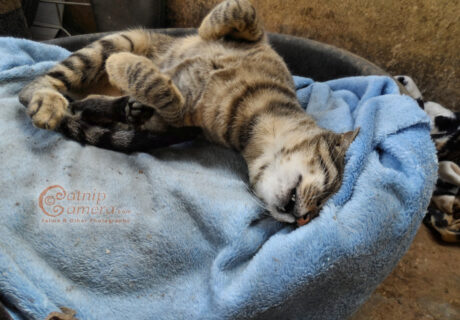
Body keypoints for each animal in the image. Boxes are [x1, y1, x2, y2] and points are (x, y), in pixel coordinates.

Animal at [18, 0, 360, 226]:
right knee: (32, 88)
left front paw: (129, 76)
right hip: (120, 39)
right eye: (328, 185)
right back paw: (49, 102)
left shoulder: (175, 122)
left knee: (83, 103)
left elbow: (169, 99)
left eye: (321, 205)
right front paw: (206, 28)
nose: (304, 219)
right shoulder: (258, 40)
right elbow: (242, 11)